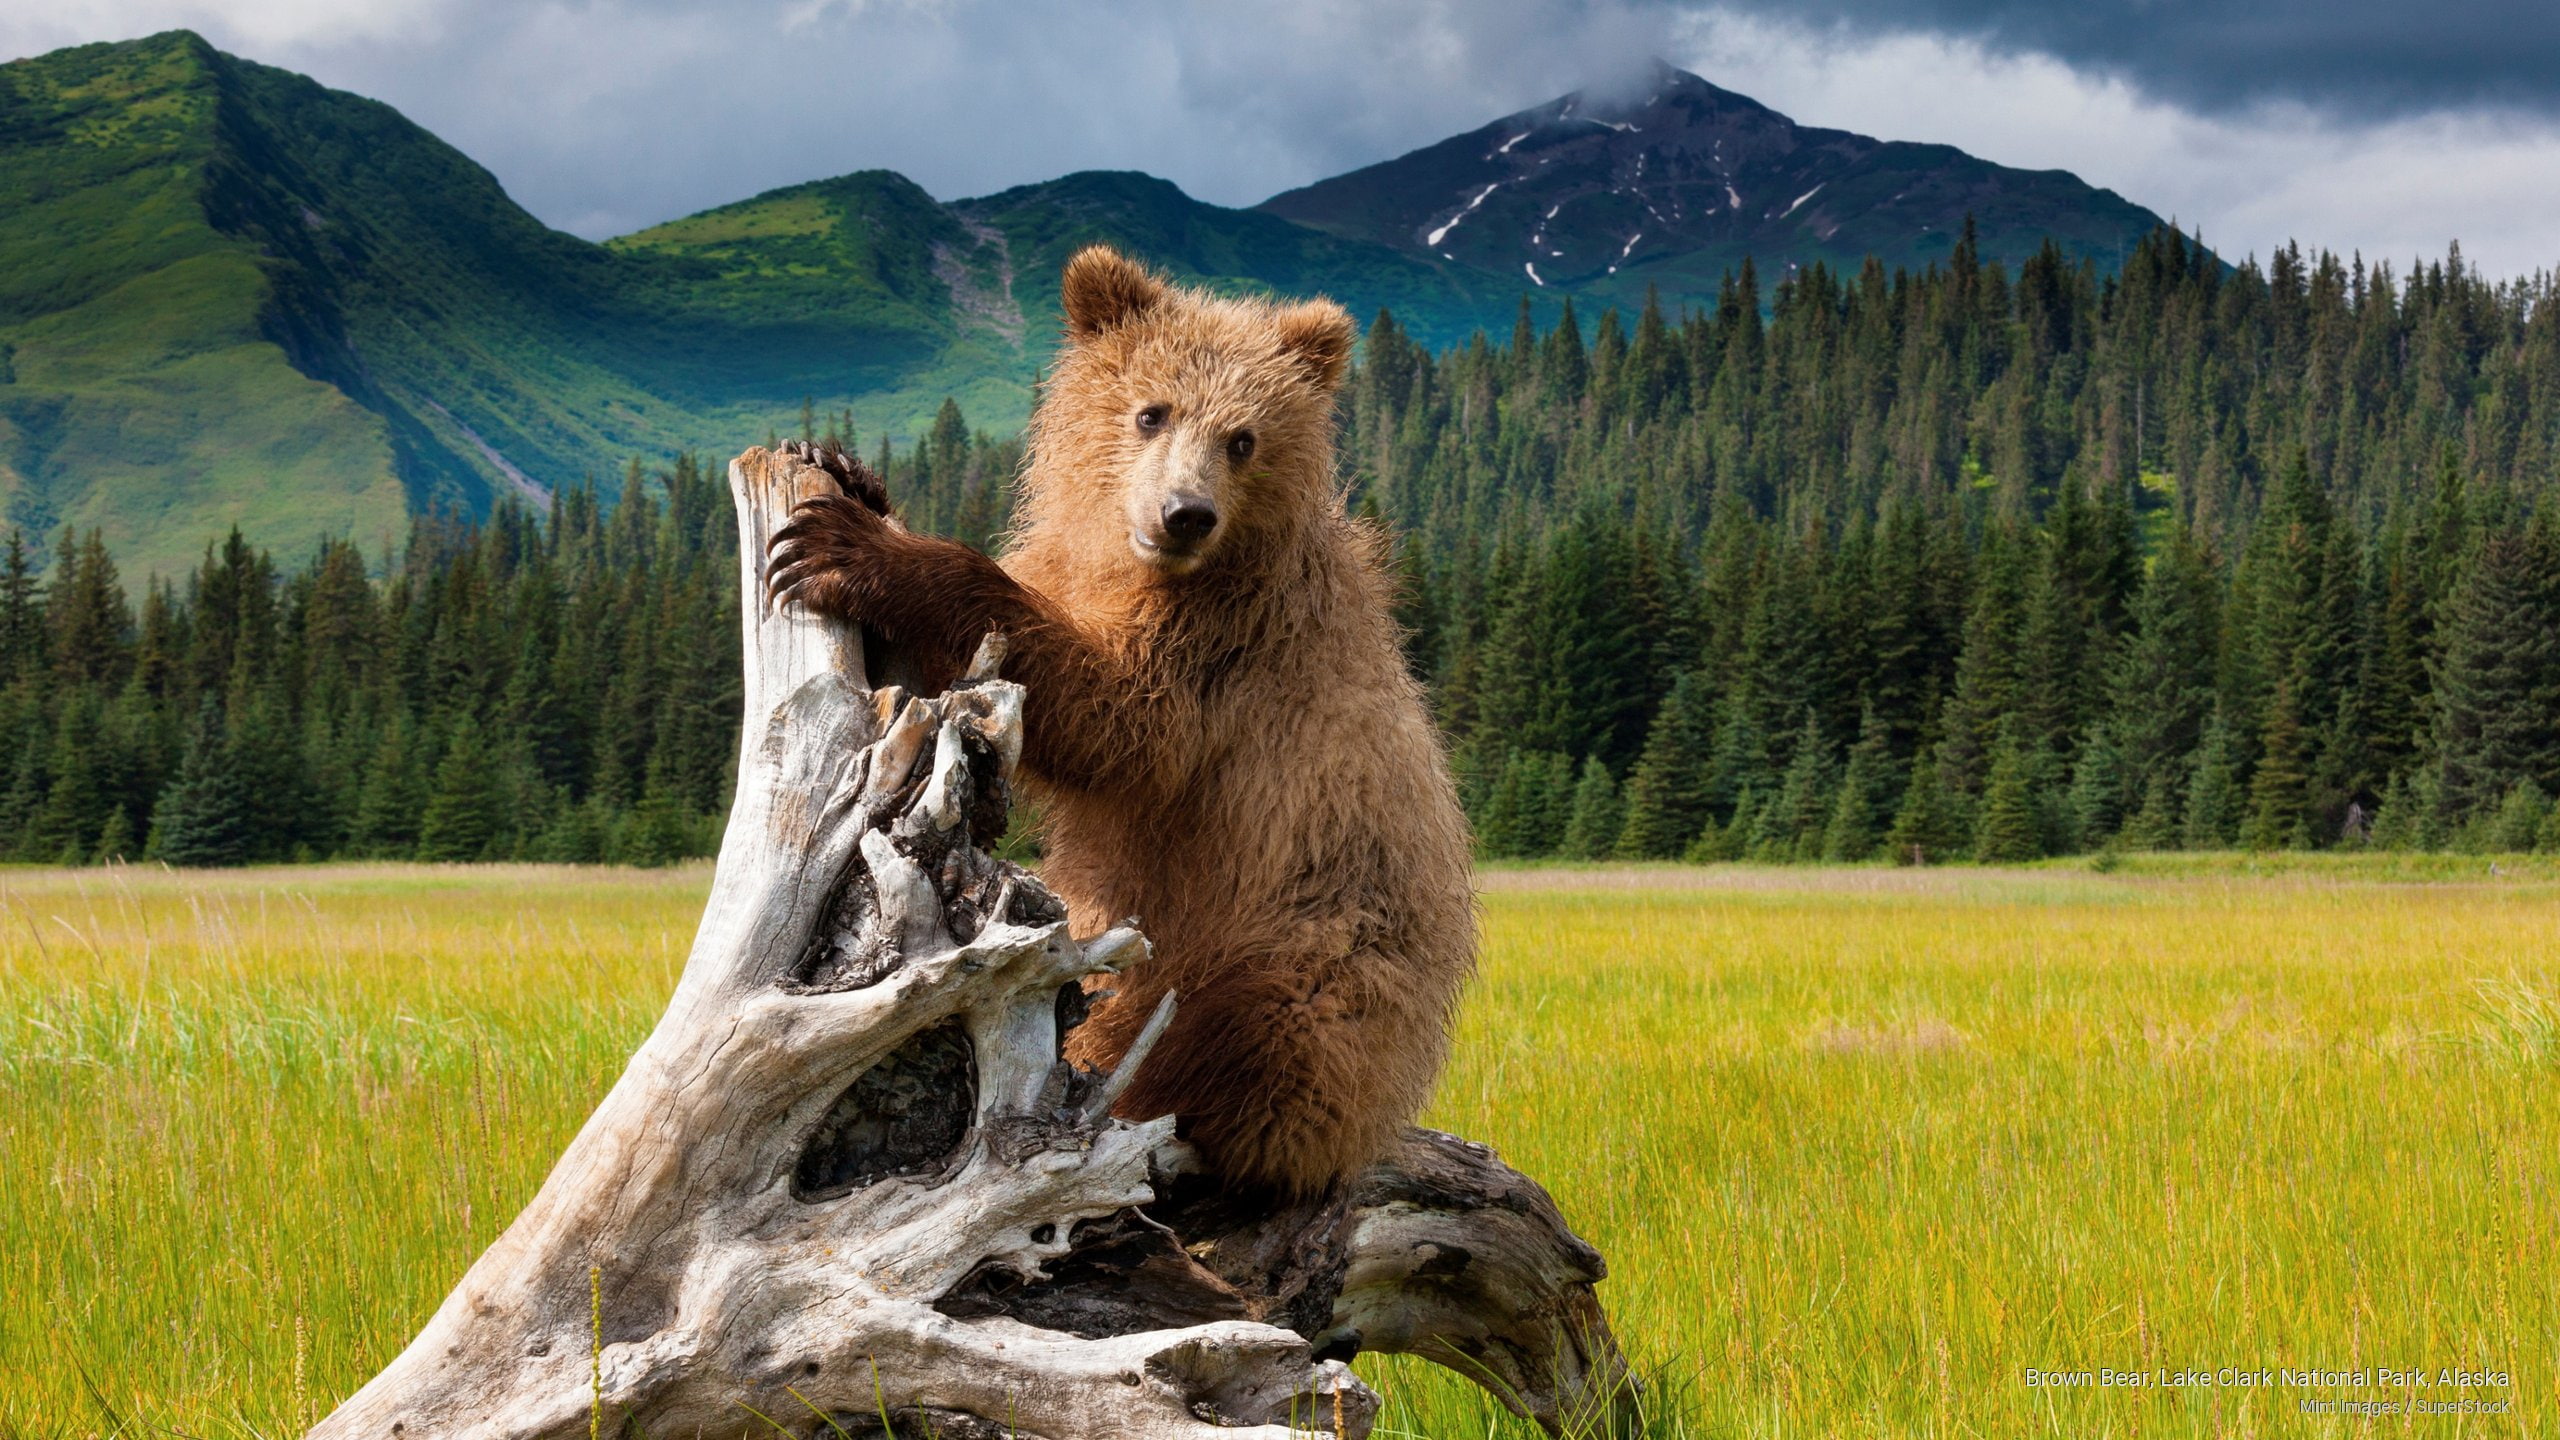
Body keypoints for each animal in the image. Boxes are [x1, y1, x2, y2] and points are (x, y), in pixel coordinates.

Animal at [767, 245, 1476, 1197]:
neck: (1135, 562)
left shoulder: (1224, 641)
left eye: (1243, 438)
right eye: (1151, 410)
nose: (1185, 514)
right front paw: (842, 473)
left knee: (1254, 1037)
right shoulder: (1074, 568)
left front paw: (859, 547)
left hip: (1317, 946)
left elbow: (1122, 722)